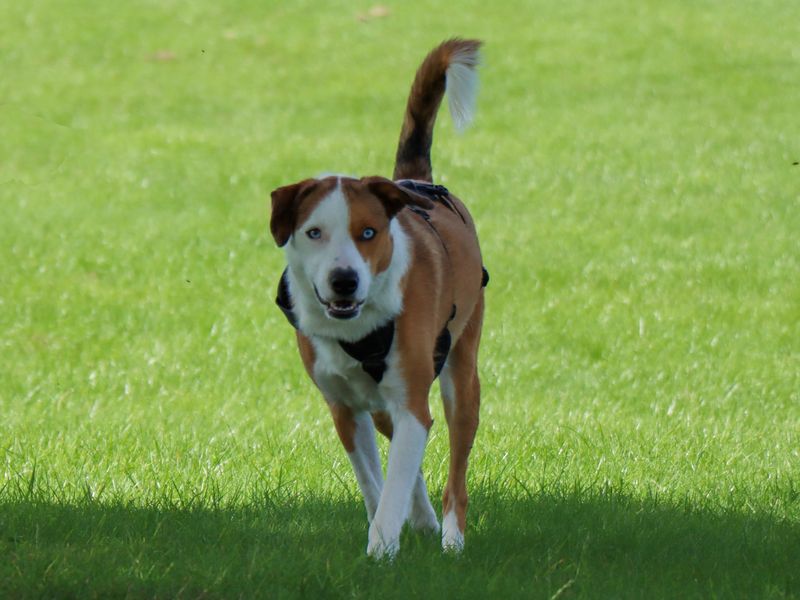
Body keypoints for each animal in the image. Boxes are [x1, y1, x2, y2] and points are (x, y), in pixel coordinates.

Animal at [268, 39, 484, 560]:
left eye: (368, 233)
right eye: (314, 232)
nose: (344, 280)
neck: (357, 328)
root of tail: (413, 183)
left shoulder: (410, 401)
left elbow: (397, 479)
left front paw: (382, 549)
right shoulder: (344, 408)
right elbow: (375, 481)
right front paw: (389, 528)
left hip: (460, 376)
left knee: (455, 469)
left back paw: (451, 538)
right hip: (385, 405)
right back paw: (423, 519)